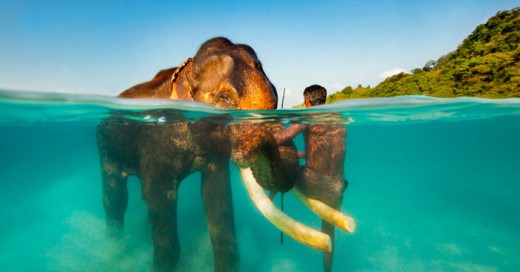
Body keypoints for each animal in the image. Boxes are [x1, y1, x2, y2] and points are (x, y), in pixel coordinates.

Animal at [96, 37, 354, 270]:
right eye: (224, 99)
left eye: (275, 97)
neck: (185, 69)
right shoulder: (156, 143)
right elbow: (157, 195)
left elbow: (217, 197)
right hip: (105, 146)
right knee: (116, 198)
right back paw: (115, 249)